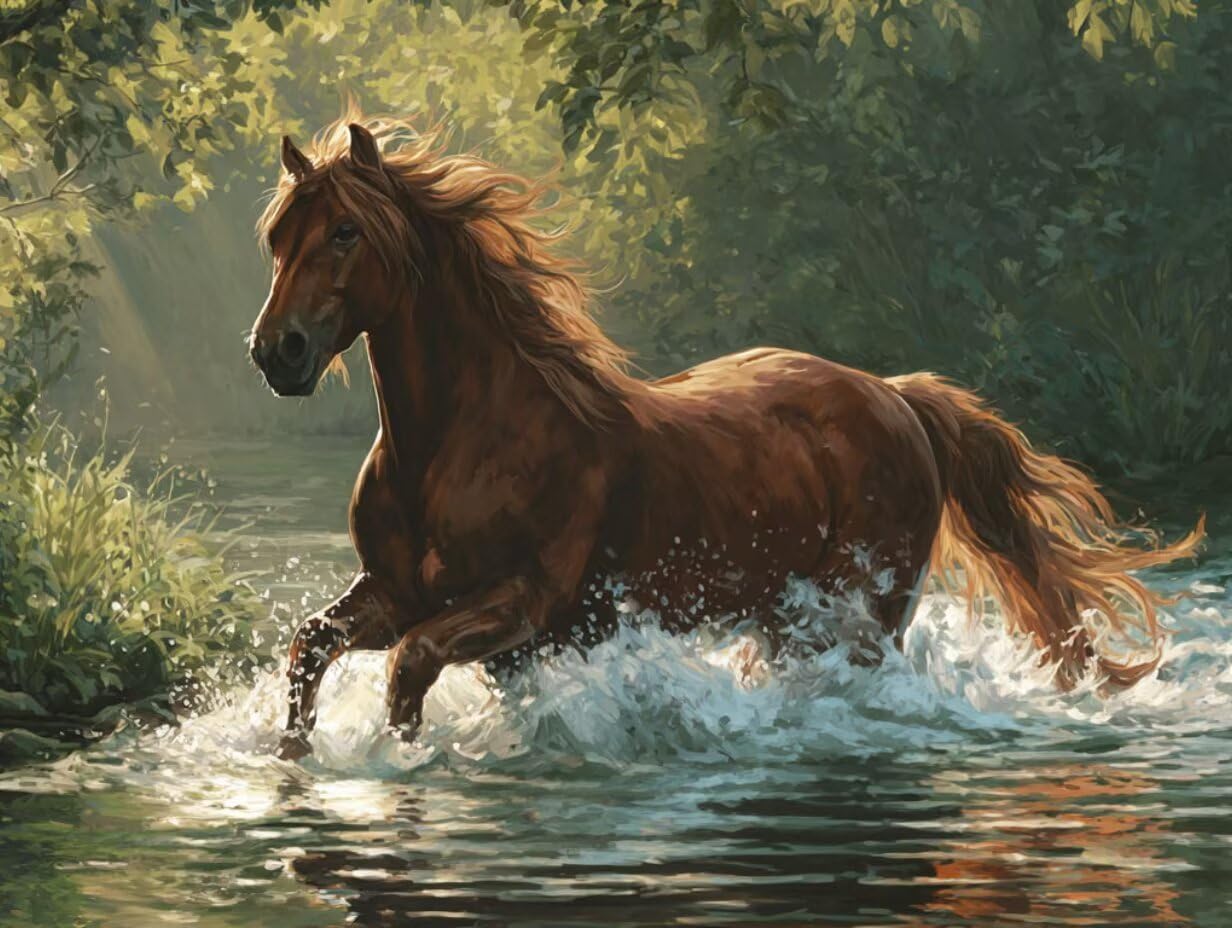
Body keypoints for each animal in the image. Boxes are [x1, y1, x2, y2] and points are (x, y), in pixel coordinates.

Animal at [248, 112, 1202, 761]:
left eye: (346, 233)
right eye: (276, 239)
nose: (275, 352)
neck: (460, 443)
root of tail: (896, 395)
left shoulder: (520, 602)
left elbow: (410, 667)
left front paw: (403, 762)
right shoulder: (395, 592)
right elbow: (309, 647)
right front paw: (290, 763)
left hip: (861, 619)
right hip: (782, 621)